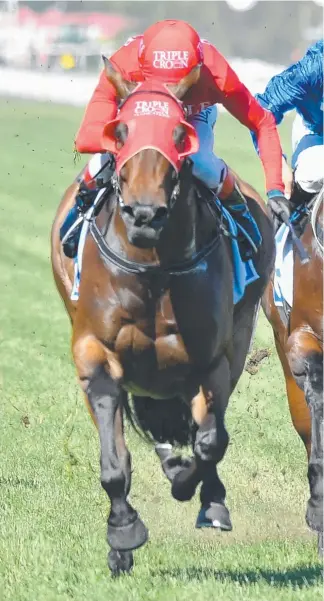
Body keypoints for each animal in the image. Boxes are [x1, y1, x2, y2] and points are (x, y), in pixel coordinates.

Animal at [52, 62, 274, 572]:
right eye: (122, 131)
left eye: (179, 134)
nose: (144, 214)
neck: (153, 269)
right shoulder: (94, 352)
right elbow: (115, 460)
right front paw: (122, 533)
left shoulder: (212, 361)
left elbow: (211, 442)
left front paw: (193, 488)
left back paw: (203, 490)